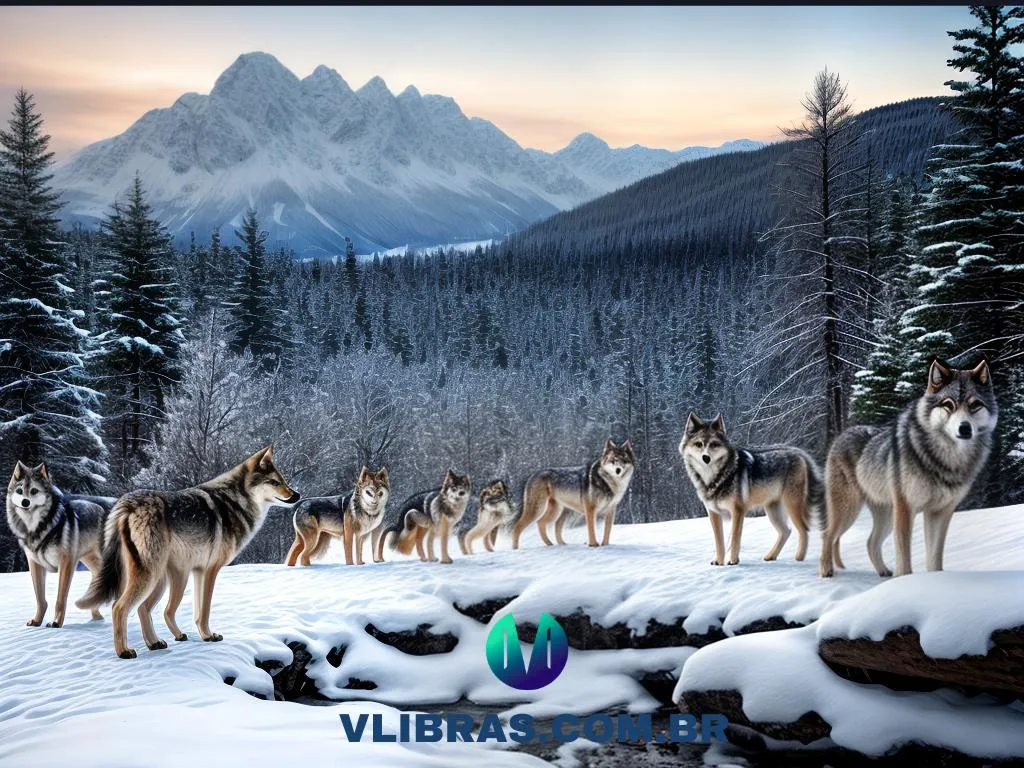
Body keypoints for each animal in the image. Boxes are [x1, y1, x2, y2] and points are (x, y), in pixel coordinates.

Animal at [5, 462, 116, 627]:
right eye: (19, 491)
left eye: (34, 491)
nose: (25, 502)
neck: (37, 529)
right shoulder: (34, 563)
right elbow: (40, 599)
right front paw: (37, 621)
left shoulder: (66, 562)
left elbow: (60, 598)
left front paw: (56, 622)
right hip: (91, 561)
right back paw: (97, 617)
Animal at [77, 446, 299, 659]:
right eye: (274, 482)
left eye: (283, 481)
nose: (297, 495)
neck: (235, 503)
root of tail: (128, 503)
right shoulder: (211, 570)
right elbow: (205, 609)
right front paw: (209, 635)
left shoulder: (198, 571)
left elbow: (197, 611)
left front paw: (204, 636)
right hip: (152, 576)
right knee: (119, 607)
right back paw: (124, 651)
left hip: (162, 579)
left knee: (143, 608)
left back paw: (155, 643)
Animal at [679, 414, 822, 566]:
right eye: (699, 444)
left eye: (714, 444)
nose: (705, 457)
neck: (715, 479)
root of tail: (798, 452)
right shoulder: (713, 513)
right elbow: (719, 542)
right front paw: (719, 562)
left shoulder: (738, 511)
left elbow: (735, 539)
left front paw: (733, 561)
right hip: (772, 511)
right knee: (786, 531)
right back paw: (770, 556)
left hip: (791, 506)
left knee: (803, 530)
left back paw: (799, 558)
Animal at [819, 358, 997, 579]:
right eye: (948, 404)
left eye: (975, 405)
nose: (964, 428)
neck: (946, 459)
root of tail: (842, 434)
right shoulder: (906, 508)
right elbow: (904, 558)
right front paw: (904, 580)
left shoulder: (940, 512)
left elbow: (935, 557)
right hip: (849, 510)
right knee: (827, 534)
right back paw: (826, 570)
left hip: (885, 515)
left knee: (870, 542)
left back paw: (884, 572)